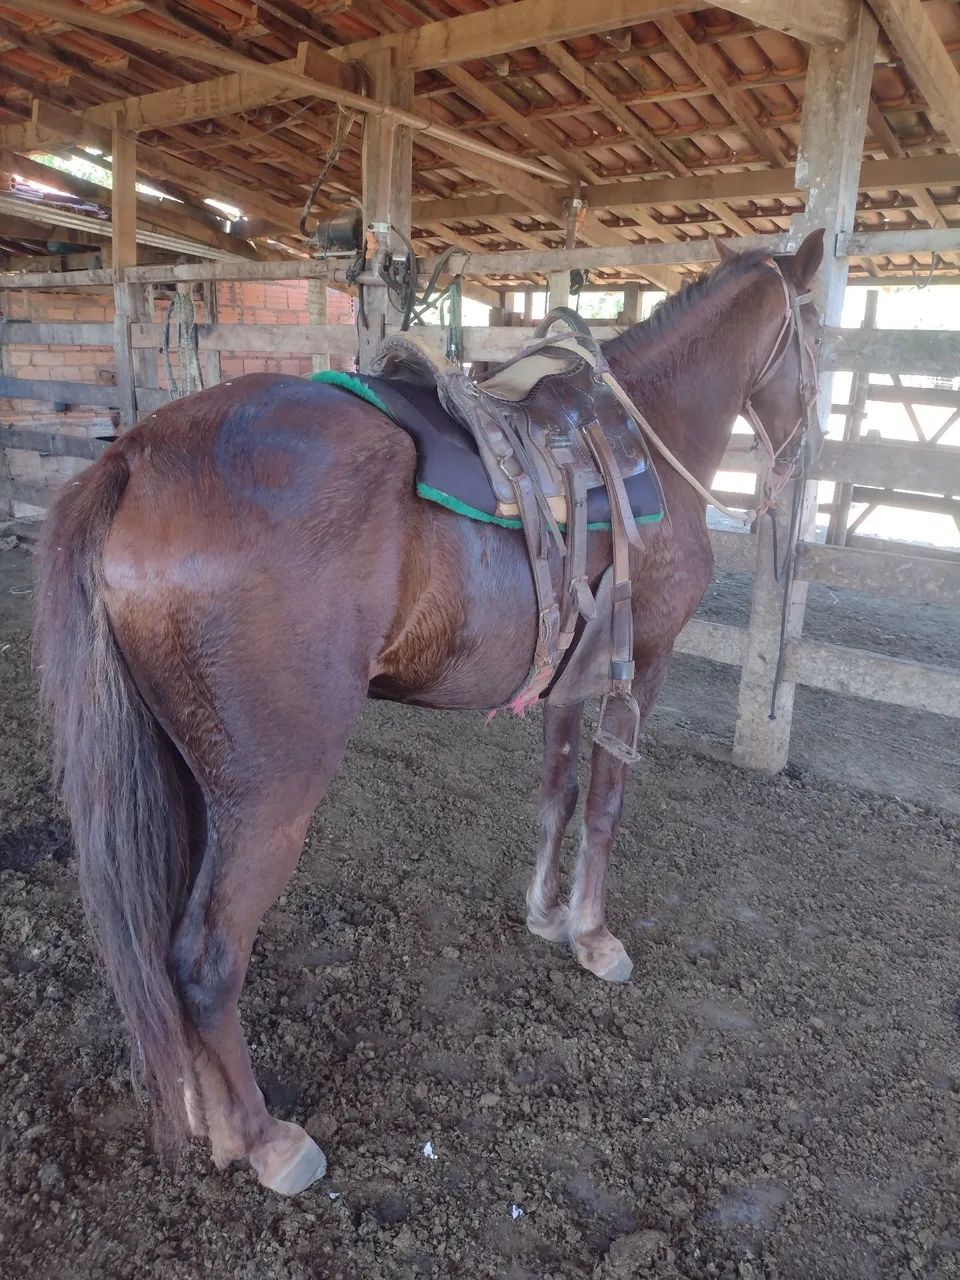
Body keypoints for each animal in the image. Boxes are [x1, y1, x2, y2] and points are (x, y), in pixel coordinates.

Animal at [35, 230, 825, 1195]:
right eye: (819, 331)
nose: (802, 454)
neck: (644, 432)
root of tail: (135, 457)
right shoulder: (641, 665)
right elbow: (605, 806)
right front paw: (594, 938)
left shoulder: (572, 673)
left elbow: (559, 793)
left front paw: (545, 914)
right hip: (269, 795)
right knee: (205, 960)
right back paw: (267, 1141)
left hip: (185, 774)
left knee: (160, 948)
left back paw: (208, 1119)